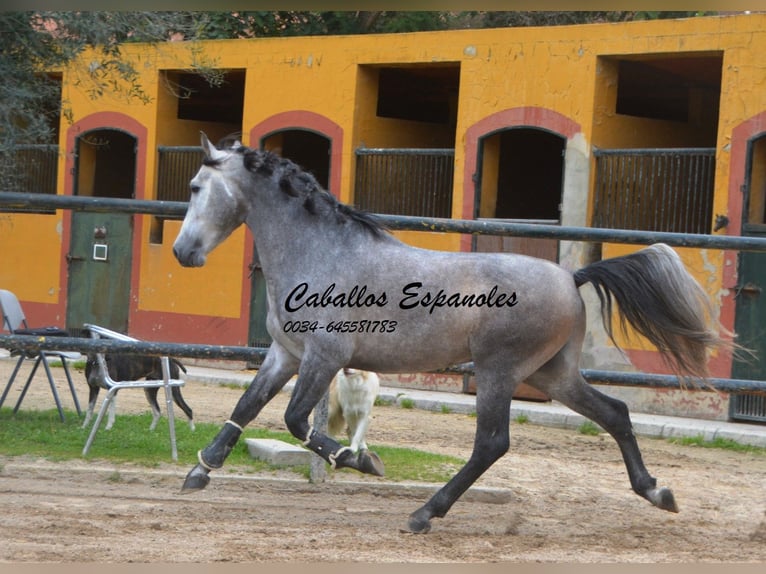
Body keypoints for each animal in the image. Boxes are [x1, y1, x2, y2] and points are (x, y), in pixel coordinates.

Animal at [172, 135, 732, 536]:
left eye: (196, 187)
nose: (182, 252)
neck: (321, 251)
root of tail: (571, 278)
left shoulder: (324, 357)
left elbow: (293, 420)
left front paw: (361, 461)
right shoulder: (284, 354)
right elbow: (246, 406)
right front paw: (199, 473)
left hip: (498, 371)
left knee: (493, 443)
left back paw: (424, 514)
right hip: (552, 375)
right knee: (614, 414)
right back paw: (658, 493)